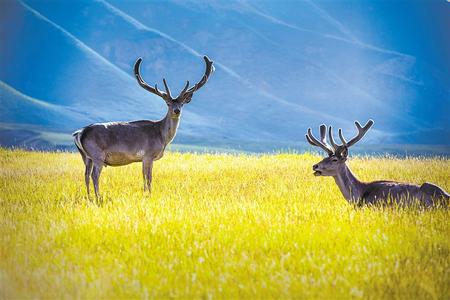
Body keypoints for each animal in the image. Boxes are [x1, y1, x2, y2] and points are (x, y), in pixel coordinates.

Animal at [73, 55, 214, 199]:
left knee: (85, 175)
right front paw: (149, 195)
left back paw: (90, 197)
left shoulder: (142, 159)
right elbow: (149, 178)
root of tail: (80, 133)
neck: (163, 137)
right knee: (94, 175)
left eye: (182, 104)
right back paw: (99, 197)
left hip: (86, 156)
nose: (176, 111)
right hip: (97, 155)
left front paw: (145, 193)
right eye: (168, 103)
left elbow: (144, 177)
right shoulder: (148, 155)